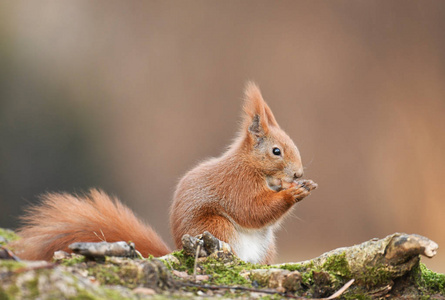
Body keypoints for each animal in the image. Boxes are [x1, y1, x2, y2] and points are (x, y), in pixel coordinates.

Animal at [11, 82, 316, 262]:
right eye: (276, 151)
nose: (298, 174)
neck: (253, 166)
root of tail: (177, 250)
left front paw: (302, 186)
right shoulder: (236, 184)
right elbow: (251, 209)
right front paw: (293, 193)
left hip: (265, 247)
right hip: (216, 228)